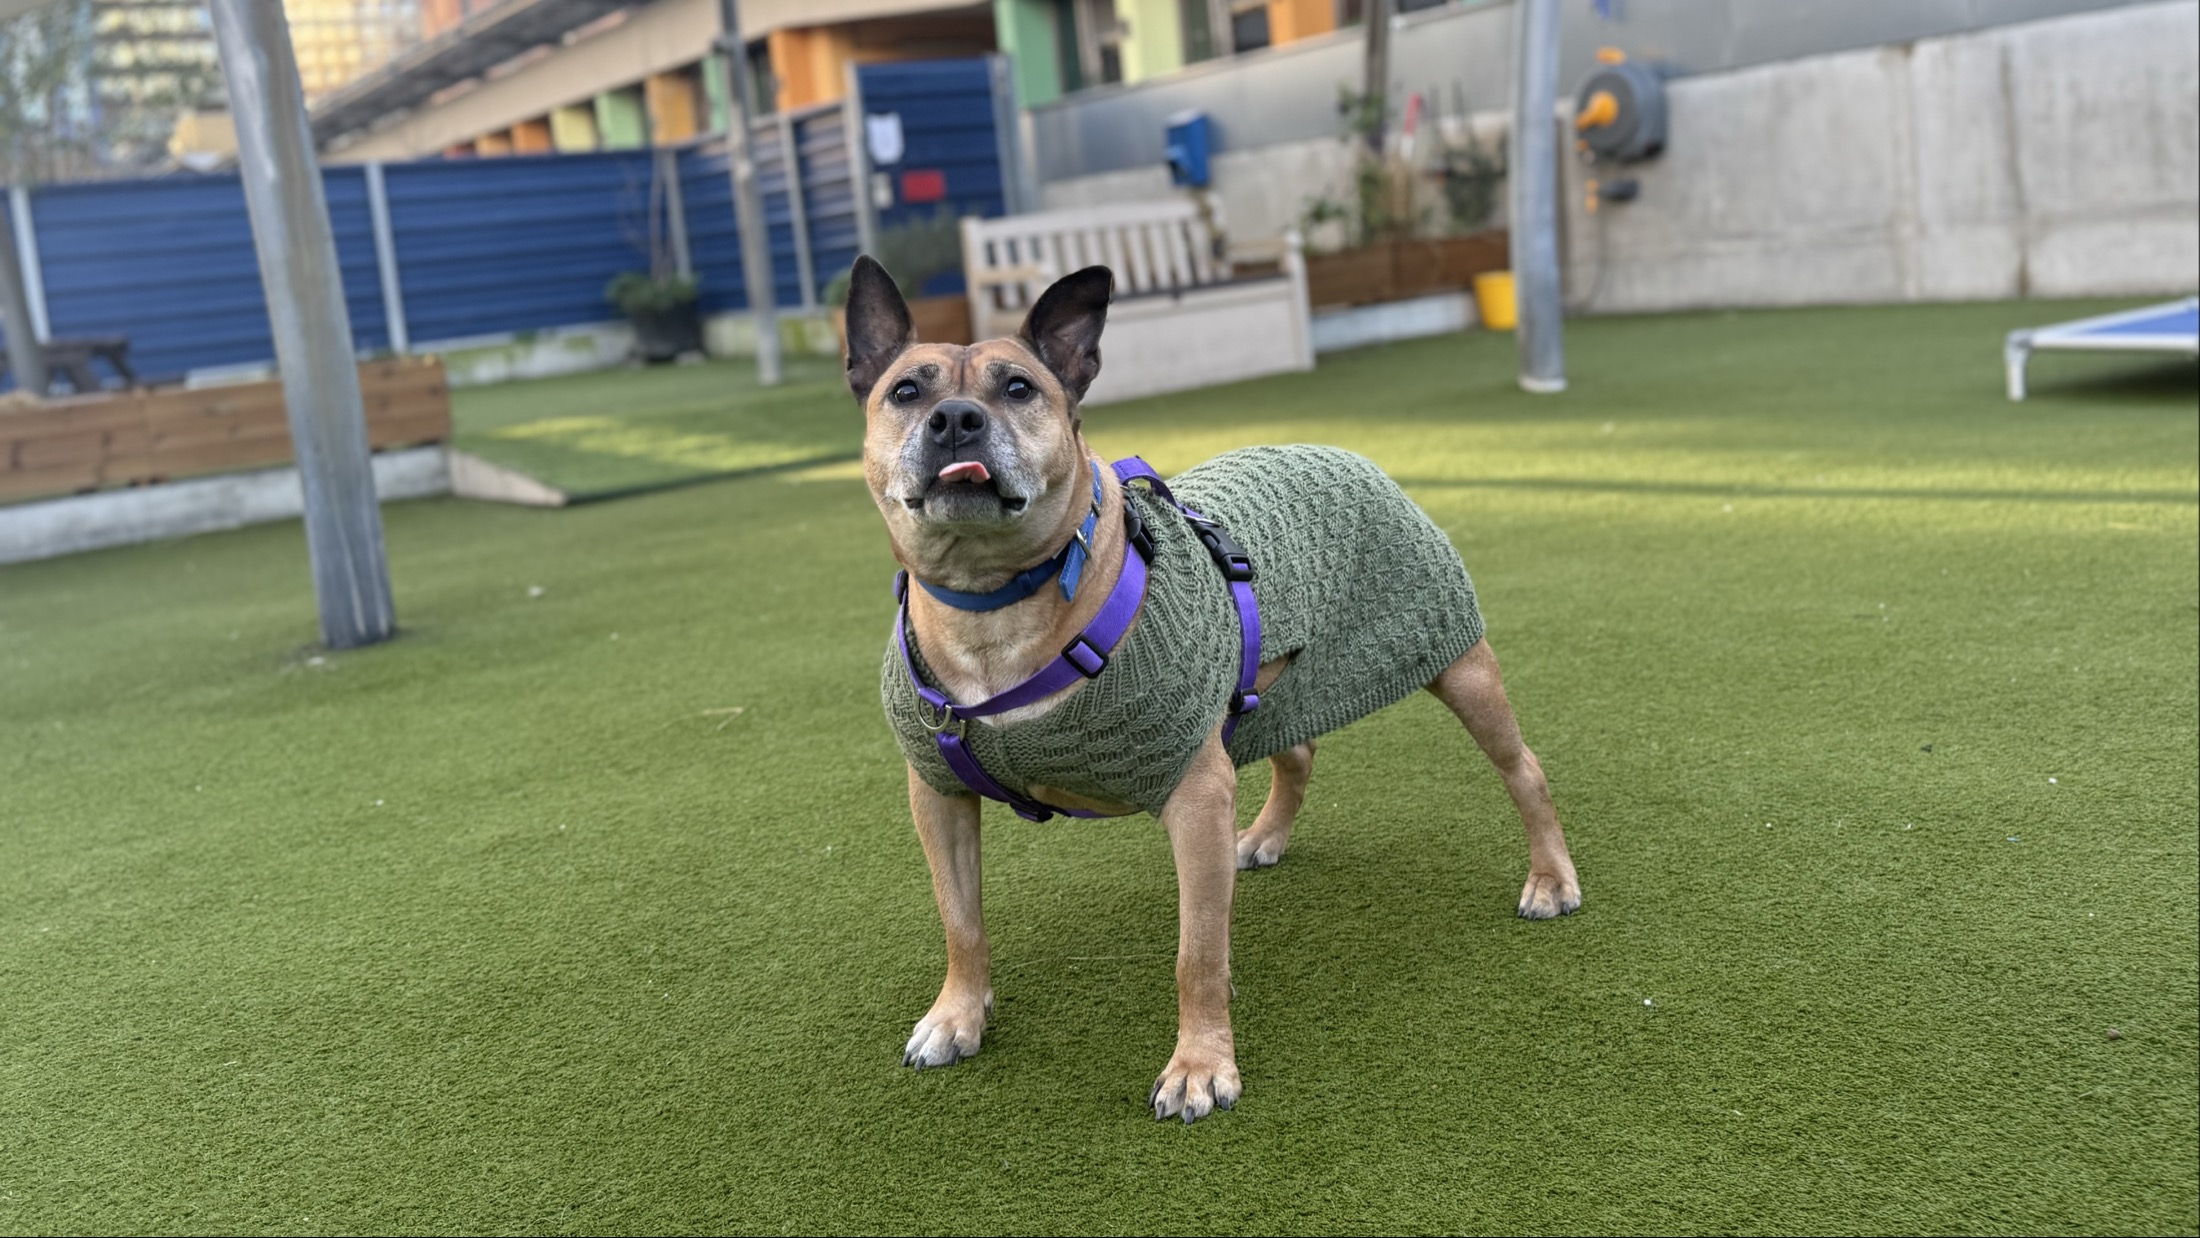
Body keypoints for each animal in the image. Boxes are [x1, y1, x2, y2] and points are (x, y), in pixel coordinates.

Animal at [844, 255, 1580, 1123]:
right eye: (905, 391)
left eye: (1019, 388)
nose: (956, 420)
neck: (994, 606)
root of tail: (1335, 447)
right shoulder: (938, 795)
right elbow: (961, 921)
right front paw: (958, 1014)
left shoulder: (1194, 795)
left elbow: (1196, 954)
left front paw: (1200, 1064)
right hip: (1271, 692)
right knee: (1297, 751)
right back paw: (1264, 836)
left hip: (1458, 665)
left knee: (1522, 768)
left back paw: (1551, 877)